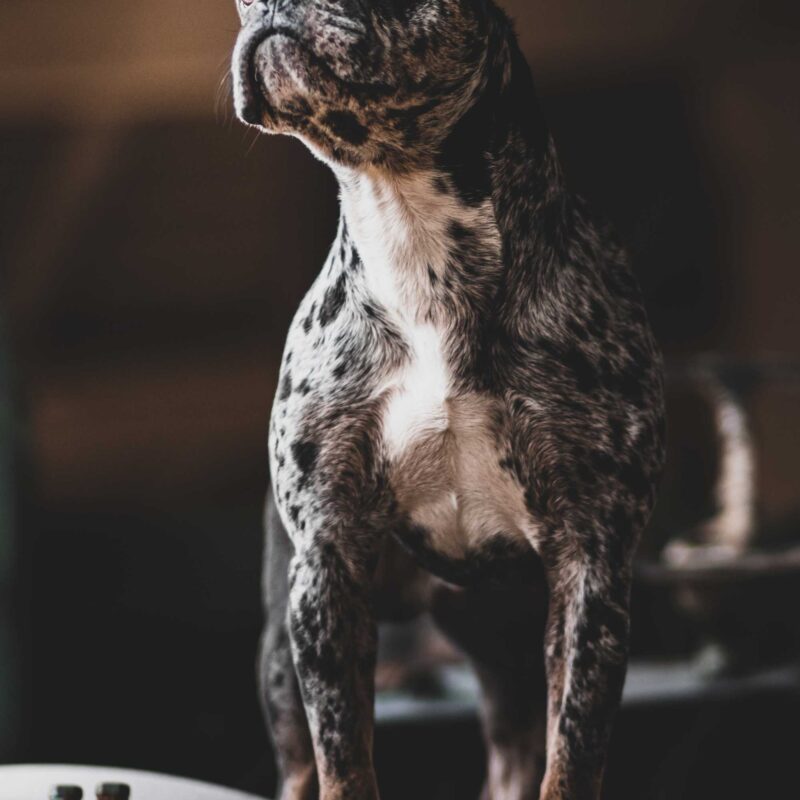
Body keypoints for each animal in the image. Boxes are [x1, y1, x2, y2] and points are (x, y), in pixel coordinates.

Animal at [231, 1, 666, 798]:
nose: (273, 10)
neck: (411, 232)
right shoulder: (326, 570)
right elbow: (343, 757)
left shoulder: (590, 569)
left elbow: (571, 753)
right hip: (283, 647)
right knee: (301, 763)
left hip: (512, 641)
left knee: (516, 753)